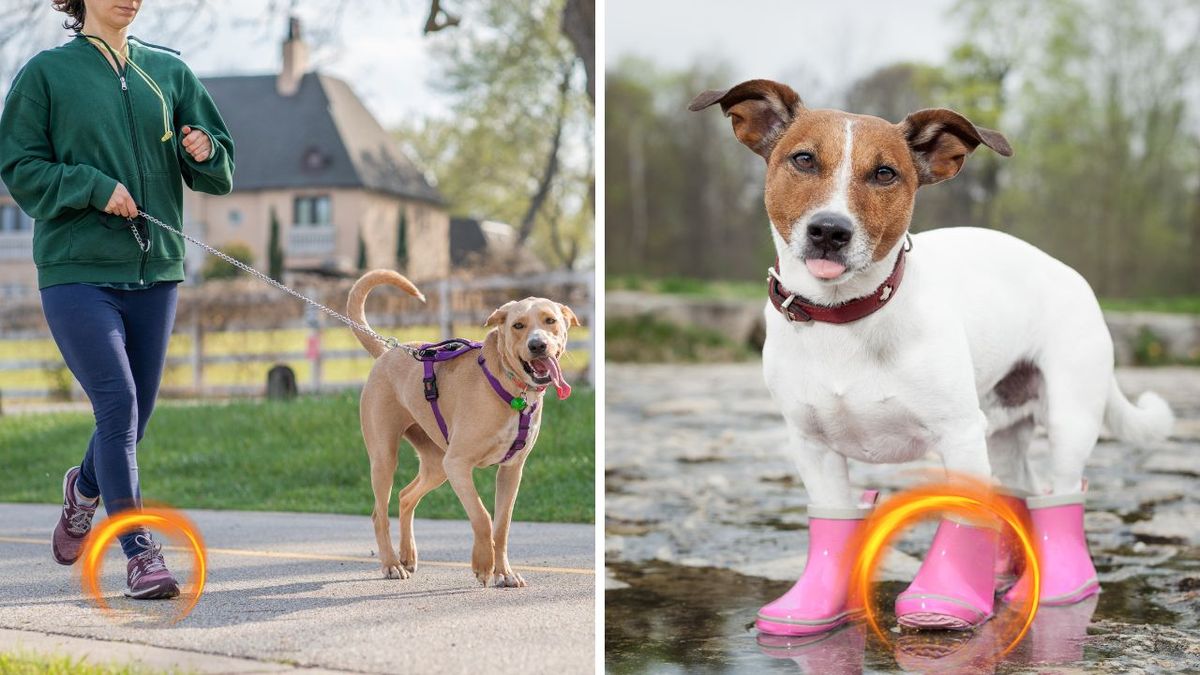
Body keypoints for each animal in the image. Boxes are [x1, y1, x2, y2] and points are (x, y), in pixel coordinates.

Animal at [345, 267, 578, 583]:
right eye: (518, 325)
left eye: (550, 320)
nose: (537, 345)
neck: (511, 389)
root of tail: (386, 352)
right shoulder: (458, 464)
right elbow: (482, 516)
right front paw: (483, 565)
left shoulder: (511, 470)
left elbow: (502, 525)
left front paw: (504, 572)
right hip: (386, 458)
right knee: (379, 514)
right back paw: (392, 563)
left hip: (436, 465)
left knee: (406, 497)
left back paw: (407, 555)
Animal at [696, 81, 1171, 634]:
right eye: (803, 160)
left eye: (885, 173)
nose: (829, 230)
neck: (846, 317)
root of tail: (1071, 275)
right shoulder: (813, 446)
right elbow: (833, 520)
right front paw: (817, 610)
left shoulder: (959, 435)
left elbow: (964, 513)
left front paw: (949, 599)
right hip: (1003, 432)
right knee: (1019, 490)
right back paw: (1007, 572)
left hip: (1068, 419)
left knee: (1060, 494)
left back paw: (1058, 586)